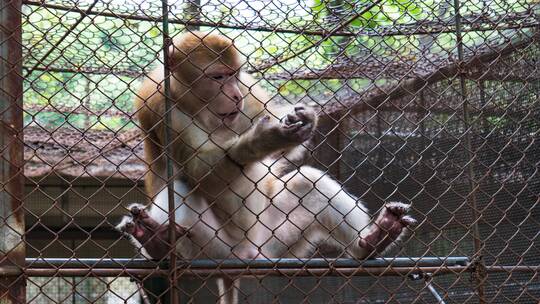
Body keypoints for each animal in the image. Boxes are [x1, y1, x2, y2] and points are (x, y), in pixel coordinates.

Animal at [116, 31, 416, 304]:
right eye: (218, 78)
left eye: (234, 75)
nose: (235, 96)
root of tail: (244, 258)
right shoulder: (160, 104)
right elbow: (197, 168)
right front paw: (257, 142)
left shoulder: (248, 88)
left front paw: (304, 119)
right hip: (209, 251)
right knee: (179, 189)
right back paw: (157, 244)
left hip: (274, 243)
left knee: (308, 181)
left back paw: (372, 241)